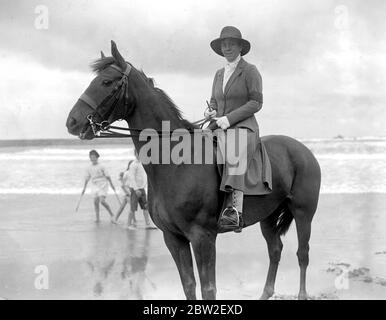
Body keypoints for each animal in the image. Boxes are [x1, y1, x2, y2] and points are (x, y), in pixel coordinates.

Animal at [65, 41, 320, 298]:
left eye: (106, 82)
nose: (72, 122)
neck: (175, 163)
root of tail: (302, 149)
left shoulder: (202, 237)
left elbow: (208, 289)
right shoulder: (173, 238)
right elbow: (188, 284)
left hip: (303, 213)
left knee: (303, 254)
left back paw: (302, 293)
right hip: (268, 216)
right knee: (275, 250)